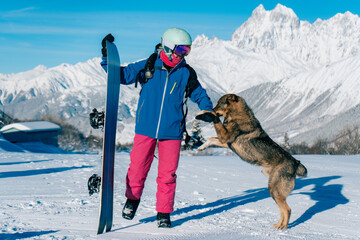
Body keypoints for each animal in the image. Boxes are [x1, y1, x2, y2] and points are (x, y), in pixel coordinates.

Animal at [197, 93, 306, 229]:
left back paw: (283, 227)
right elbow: (211, 139)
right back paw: (278, 226)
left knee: (287, 209)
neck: (236, 115)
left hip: (274, 190)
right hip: (274, 191)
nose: (212, 109)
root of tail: (296, 163)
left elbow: (215, 126)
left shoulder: (225, 137)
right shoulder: (226, 142)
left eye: (220, 103)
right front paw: (201, 147)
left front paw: (206, 112)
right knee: (283, 210)